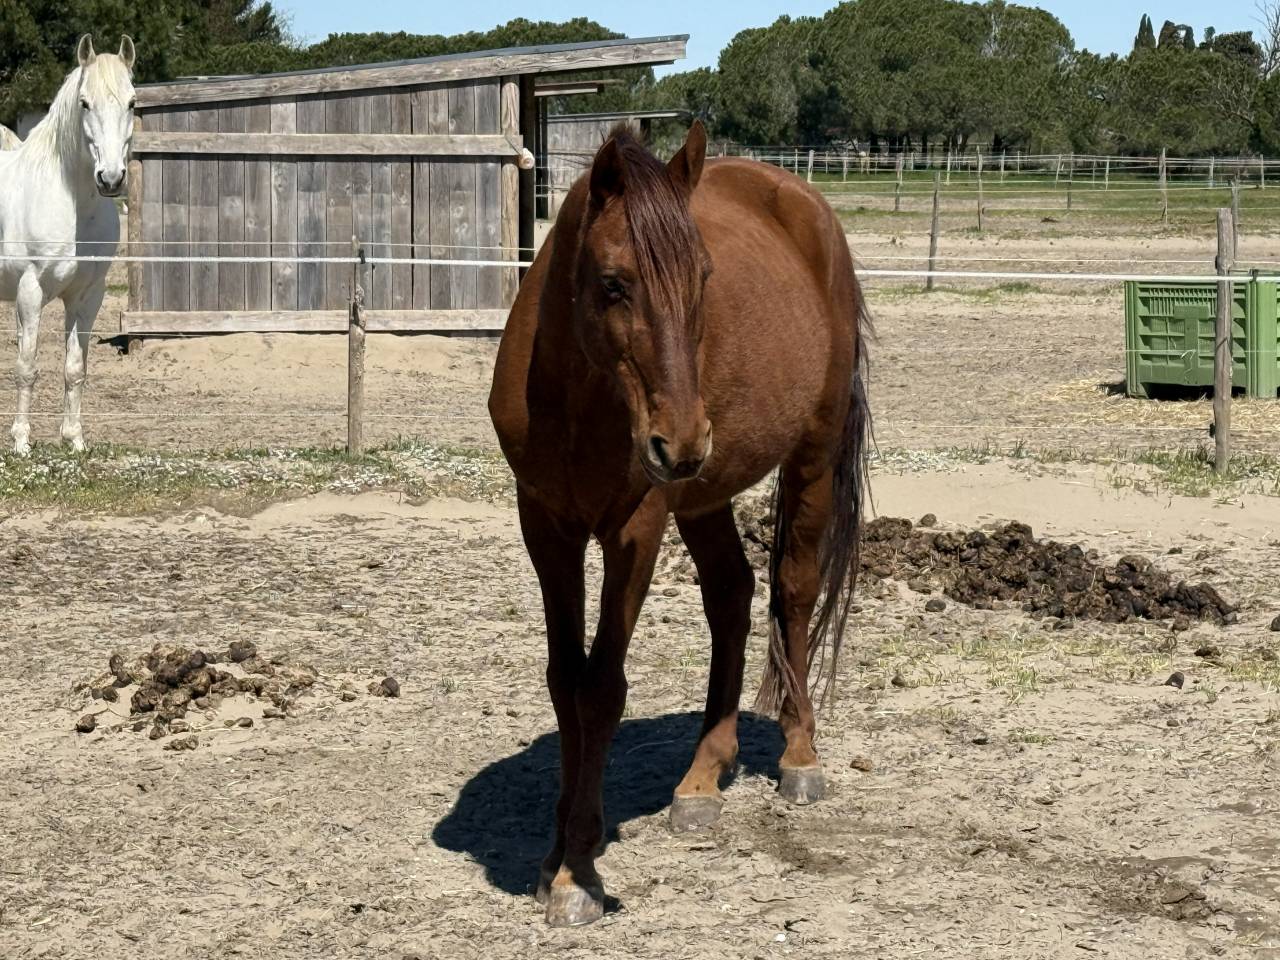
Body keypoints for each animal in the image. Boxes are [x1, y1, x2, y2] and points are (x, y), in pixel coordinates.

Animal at [0, 35, 136, 454]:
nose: (111, 178)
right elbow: (26, 368)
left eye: (132, 102)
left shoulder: (87, 296)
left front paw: (74, 439)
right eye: (84, 103)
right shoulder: (30, 292)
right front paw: (21, 442)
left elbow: (75, 368)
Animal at [488, 120, 870, 927]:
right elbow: (564, 681)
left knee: (793, 591)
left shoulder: (634, 529)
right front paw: (554, 852)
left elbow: (602, 688)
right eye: (612, 282)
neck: (578, 402)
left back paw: (800, 756)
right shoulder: (546, 525)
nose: (684, 442)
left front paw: (576, 872)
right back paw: (701, 777)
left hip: (809, 461)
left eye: (704, 279)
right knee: (732, 596)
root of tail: (802, 200)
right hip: (701, 499)